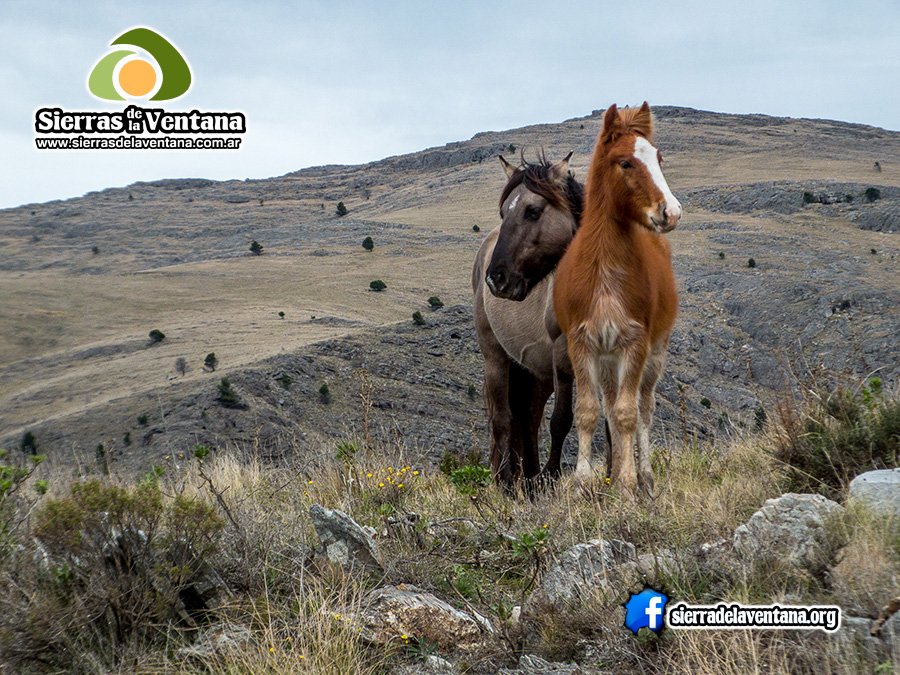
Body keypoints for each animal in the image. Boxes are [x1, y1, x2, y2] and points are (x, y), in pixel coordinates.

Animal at [472, 154, 584, 492]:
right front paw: (552, 474)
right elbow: (561, 419)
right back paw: (507, 483)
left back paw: (530, 481)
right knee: (504, 419)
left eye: (533, 211)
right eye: (503, 212)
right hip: (496, 358)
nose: (497, 278)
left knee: (528, 418)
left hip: (536, 371)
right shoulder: (563, 356)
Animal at [552, 104, 680, 496]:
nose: (671, 212)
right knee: (609, 406)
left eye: (658, 158)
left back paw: (644, 477)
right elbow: (589, 412)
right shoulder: (581, 344)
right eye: (625, 163)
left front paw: (626, 482)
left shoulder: (635, 344)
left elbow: (627, 415)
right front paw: (583, 483)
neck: (604, 273)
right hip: (607, 361)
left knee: (643, 408)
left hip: (654, 356)